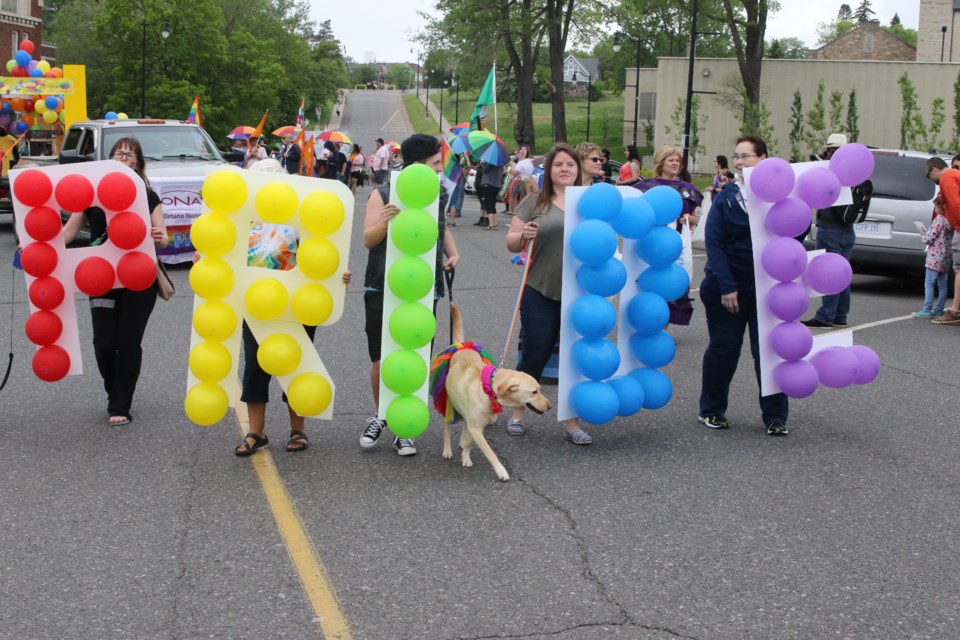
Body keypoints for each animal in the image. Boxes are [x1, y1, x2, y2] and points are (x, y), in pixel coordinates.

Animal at [430, 304, 552, 480]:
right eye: (534, 392)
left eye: (539, 389)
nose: (550, 406)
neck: (489, 390)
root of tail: (461, 345)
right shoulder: (476, 428)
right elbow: (490, 452)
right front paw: (501, 471)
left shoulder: (476, 427)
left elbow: (468, 442)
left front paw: (466, 456)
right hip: (447, 404)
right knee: (446, 428)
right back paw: (447, 450)